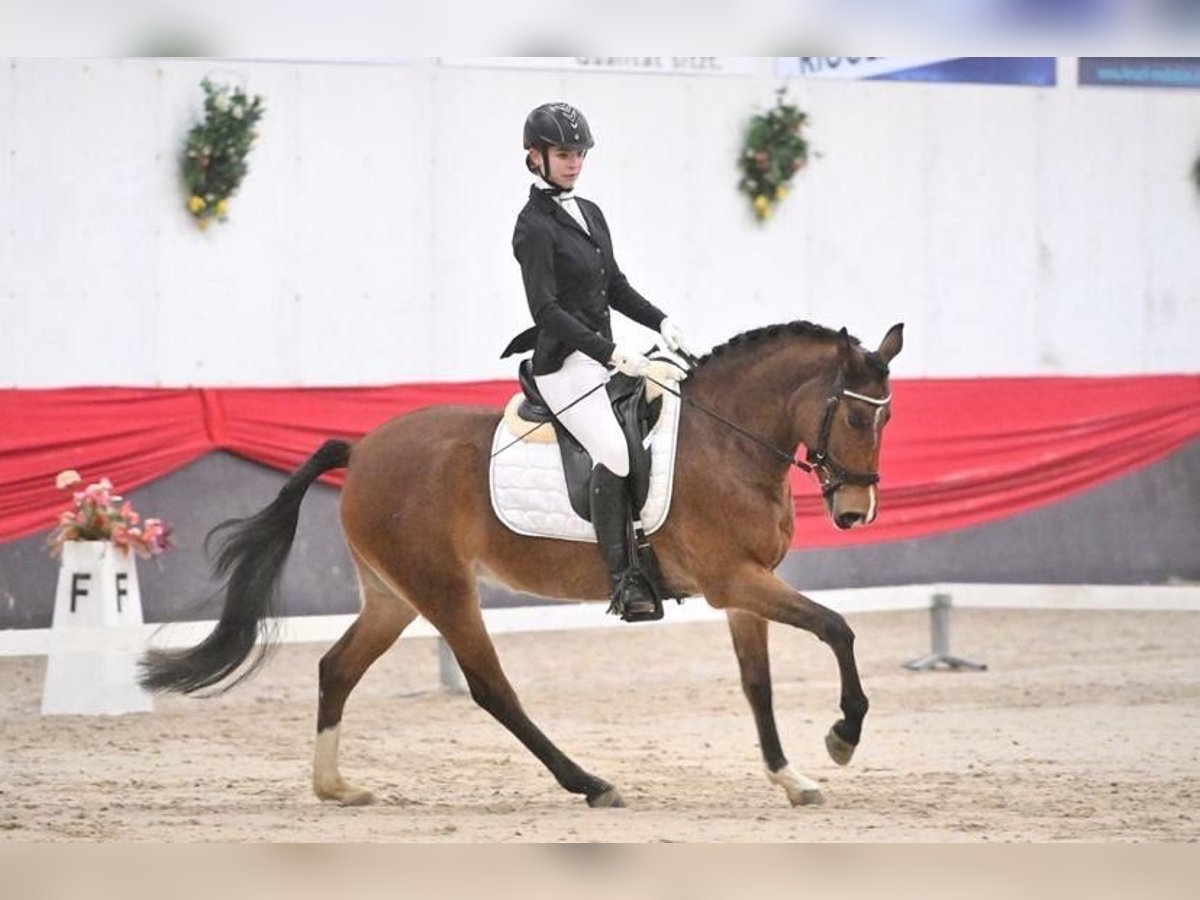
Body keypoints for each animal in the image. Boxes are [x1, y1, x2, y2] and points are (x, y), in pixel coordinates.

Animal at [138, 321, 902, 811]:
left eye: (886, 420)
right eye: (855, 418)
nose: (854, 514)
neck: (726, 443)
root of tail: (361, 448)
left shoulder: (746, 589)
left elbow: (757, 686)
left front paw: (792, 779)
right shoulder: (734, 581)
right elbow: (837, 628)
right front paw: (843, 737)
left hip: (393, 595)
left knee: (337, 669)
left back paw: (336, 788)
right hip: (443, 588)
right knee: (490, 688)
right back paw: (591, 784)